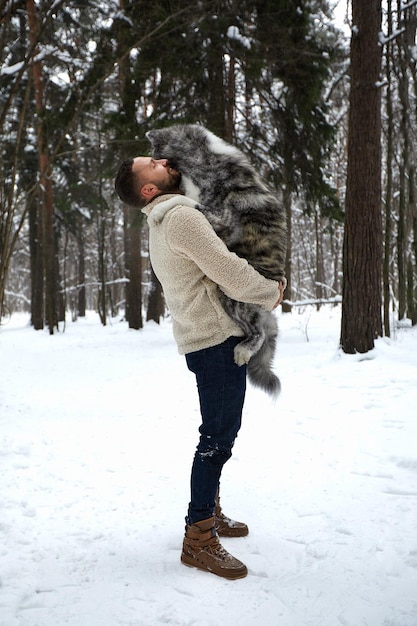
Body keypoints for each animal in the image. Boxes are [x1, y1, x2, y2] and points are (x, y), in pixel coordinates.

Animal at [145, 122, 286, 394]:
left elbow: (183, 200)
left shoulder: (223, 221)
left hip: (230, 296)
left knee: (258, 333)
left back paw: (243, 352)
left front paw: (157, 211)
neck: (204, 161)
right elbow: (185, 199)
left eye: (154, 156)